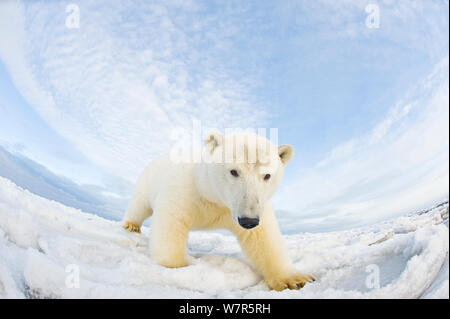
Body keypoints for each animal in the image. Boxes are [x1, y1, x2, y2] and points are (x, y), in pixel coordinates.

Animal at [121, 131, 314, 292]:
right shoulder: (183, 190)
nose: (248, 221)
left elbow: (263, 237)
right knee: (139, 205)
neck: (213, 197)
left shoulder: (256, 205)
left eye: (267, 175)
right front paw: (183, 265)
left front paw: (293, 279)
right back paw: (131, 225)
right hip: (146, 182)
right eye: (234, 171)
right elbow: (170, 225)